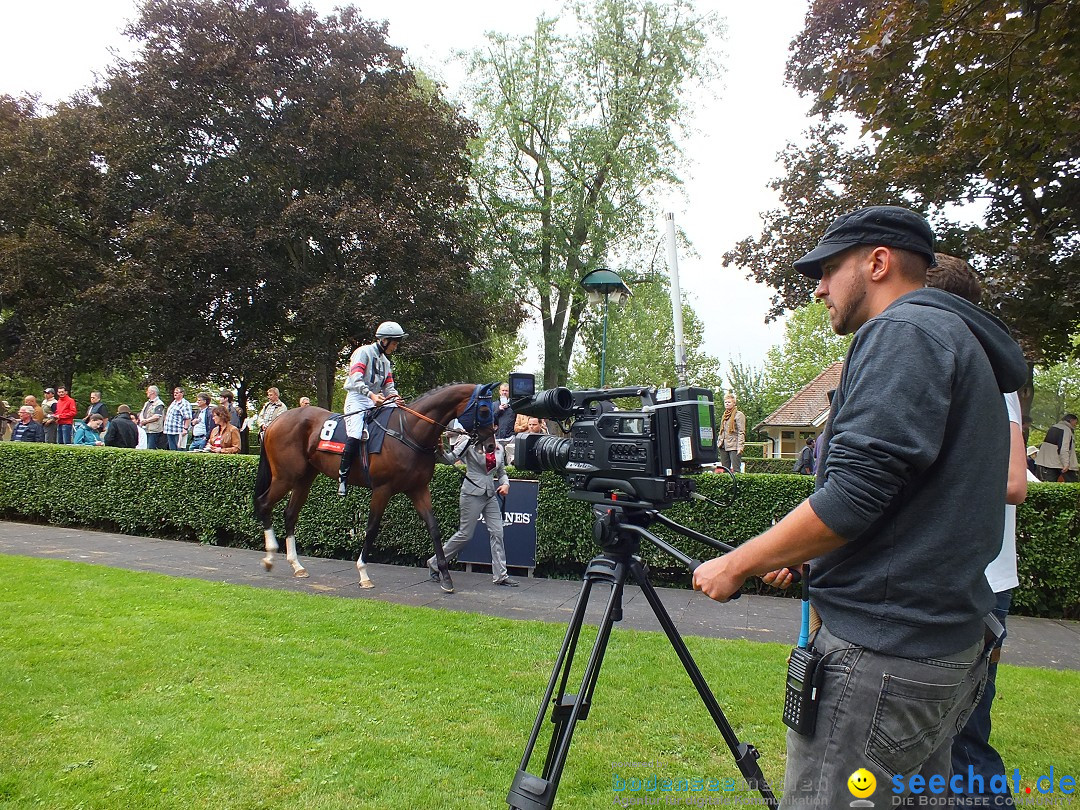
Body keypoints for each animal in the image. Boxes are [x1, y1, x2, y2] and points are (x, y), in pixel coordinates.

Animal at [254, 384, 498, 591]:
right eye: (485, 410)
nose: (491, 446)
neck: (408, 431)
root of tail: (275, 422)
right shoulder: (382, 489)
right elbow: (371, 528)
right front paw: (363, 574)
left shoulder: (418, 489)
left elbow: (433, 528)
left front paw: (445, 577)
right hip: (285, 477)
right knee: (264, 503)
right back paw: (270, 556)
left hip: (304, 478)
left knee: (290, 513)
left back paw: (297, 565)